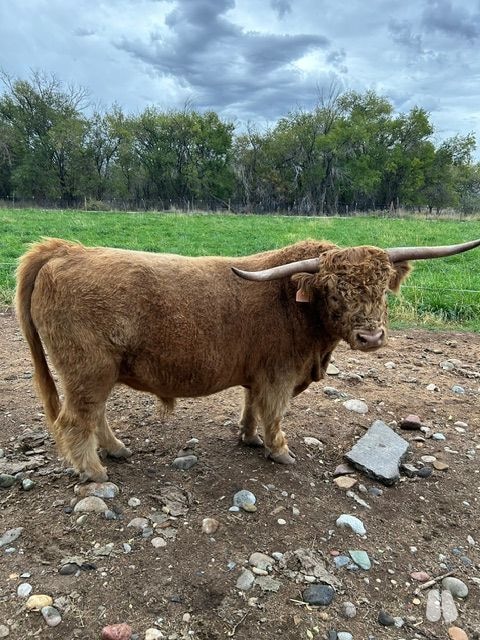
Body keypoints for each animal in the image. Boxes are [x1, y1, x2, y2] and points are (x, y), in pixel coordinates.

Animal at [15, 236, 480, 482]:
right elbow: (273, 412)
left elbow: (251, 406)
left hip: (99, 372)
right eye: (334, 292)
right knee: (76, 419)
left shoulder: (259, 373)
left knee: (95, 415)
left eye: (383, 289)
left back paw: (116, 450)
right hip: (88, 369)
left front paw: (250, 438)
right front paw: (279, 450)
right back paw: (95, 471)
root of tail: (64, 250)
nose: (370, 336)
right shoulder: (279, 374)